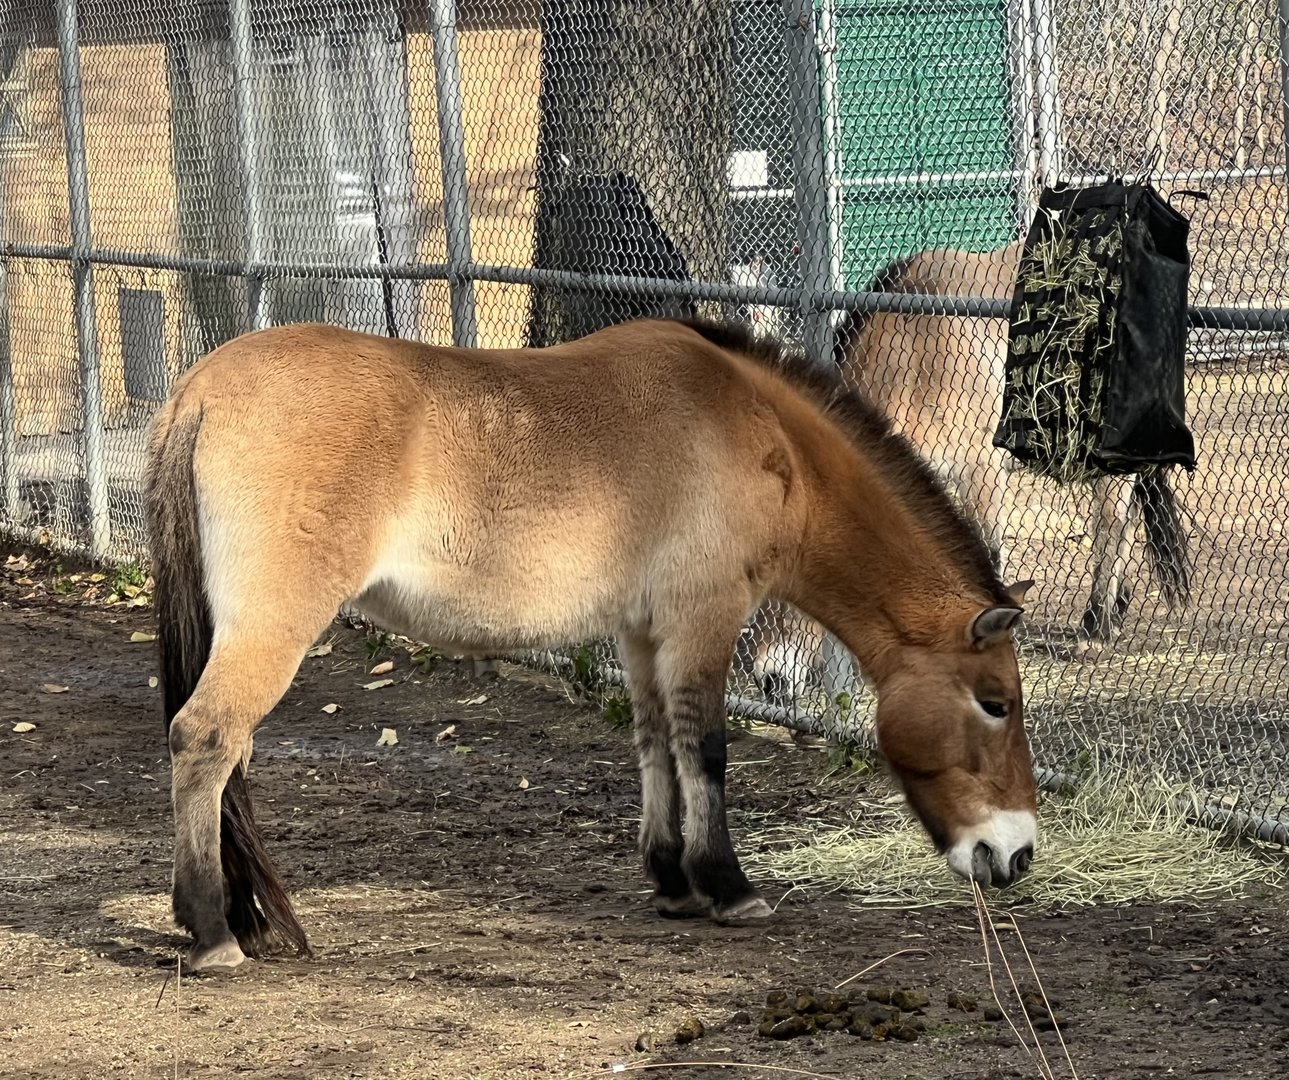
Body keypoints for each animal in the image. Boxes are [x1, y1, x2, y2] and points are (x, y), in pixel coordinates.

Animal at [146, 316, 1038, 972]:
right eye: (995, 704)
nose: (1016, 853)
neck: (751, 424)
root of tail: (202, 389)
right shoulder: (702, 618)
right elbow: (706, 749)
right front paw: (728, 886)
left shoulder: (642, 631)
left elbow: (654, 745)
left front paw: (672, 880)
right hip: (273, 627)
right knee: (207, 739)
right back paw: (215, 932)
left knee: (229, 753)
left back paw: (244, 918)